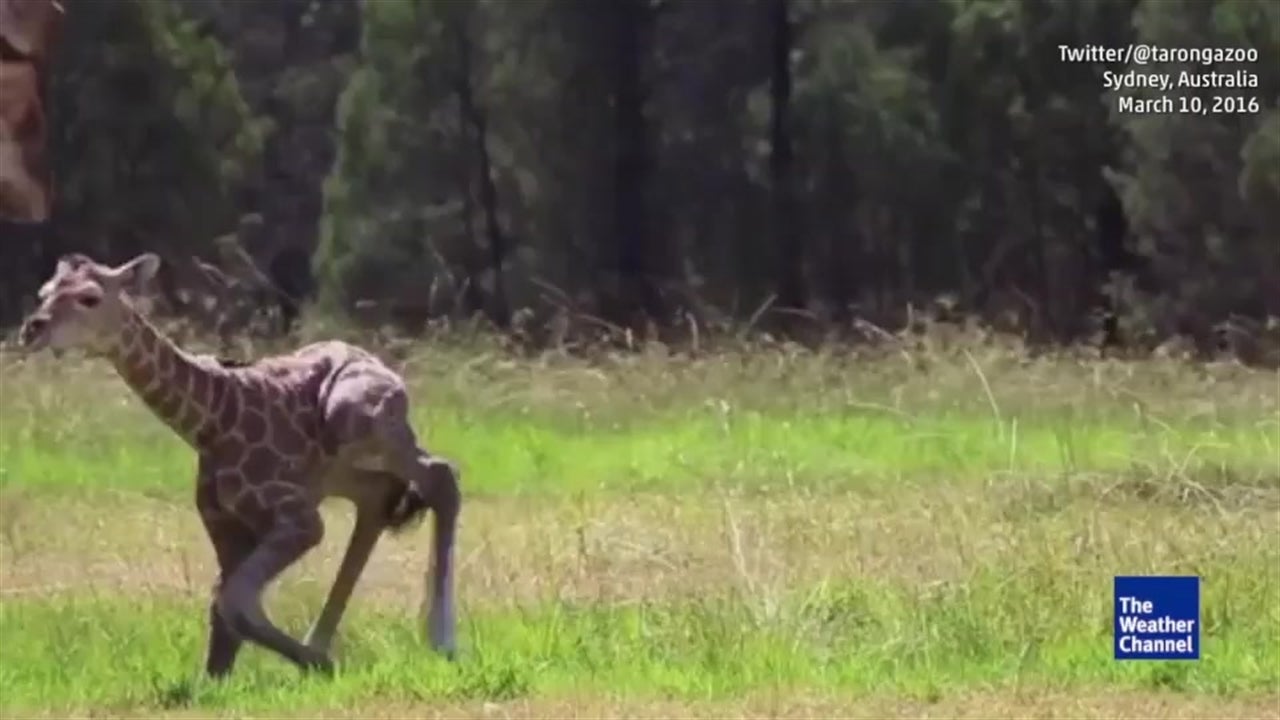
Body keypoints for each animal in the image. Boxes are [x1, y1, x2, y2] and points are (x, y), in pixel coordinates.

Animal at [17, 252, 461, 677]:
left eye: (89, 298)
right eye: (44, 293)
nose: (32, 330)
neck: (210, 421)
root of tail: (383, 367)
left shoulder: (300, 521)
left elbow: (232, 602)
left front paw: (321, 665)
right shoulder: (226, 525)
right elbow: (222, 610)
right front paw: (217, 680)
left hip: (354, 419)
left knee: (441, 474)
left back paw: (442, 640)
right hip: (335, 472)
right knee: (378, 499)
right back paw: (324, 640)